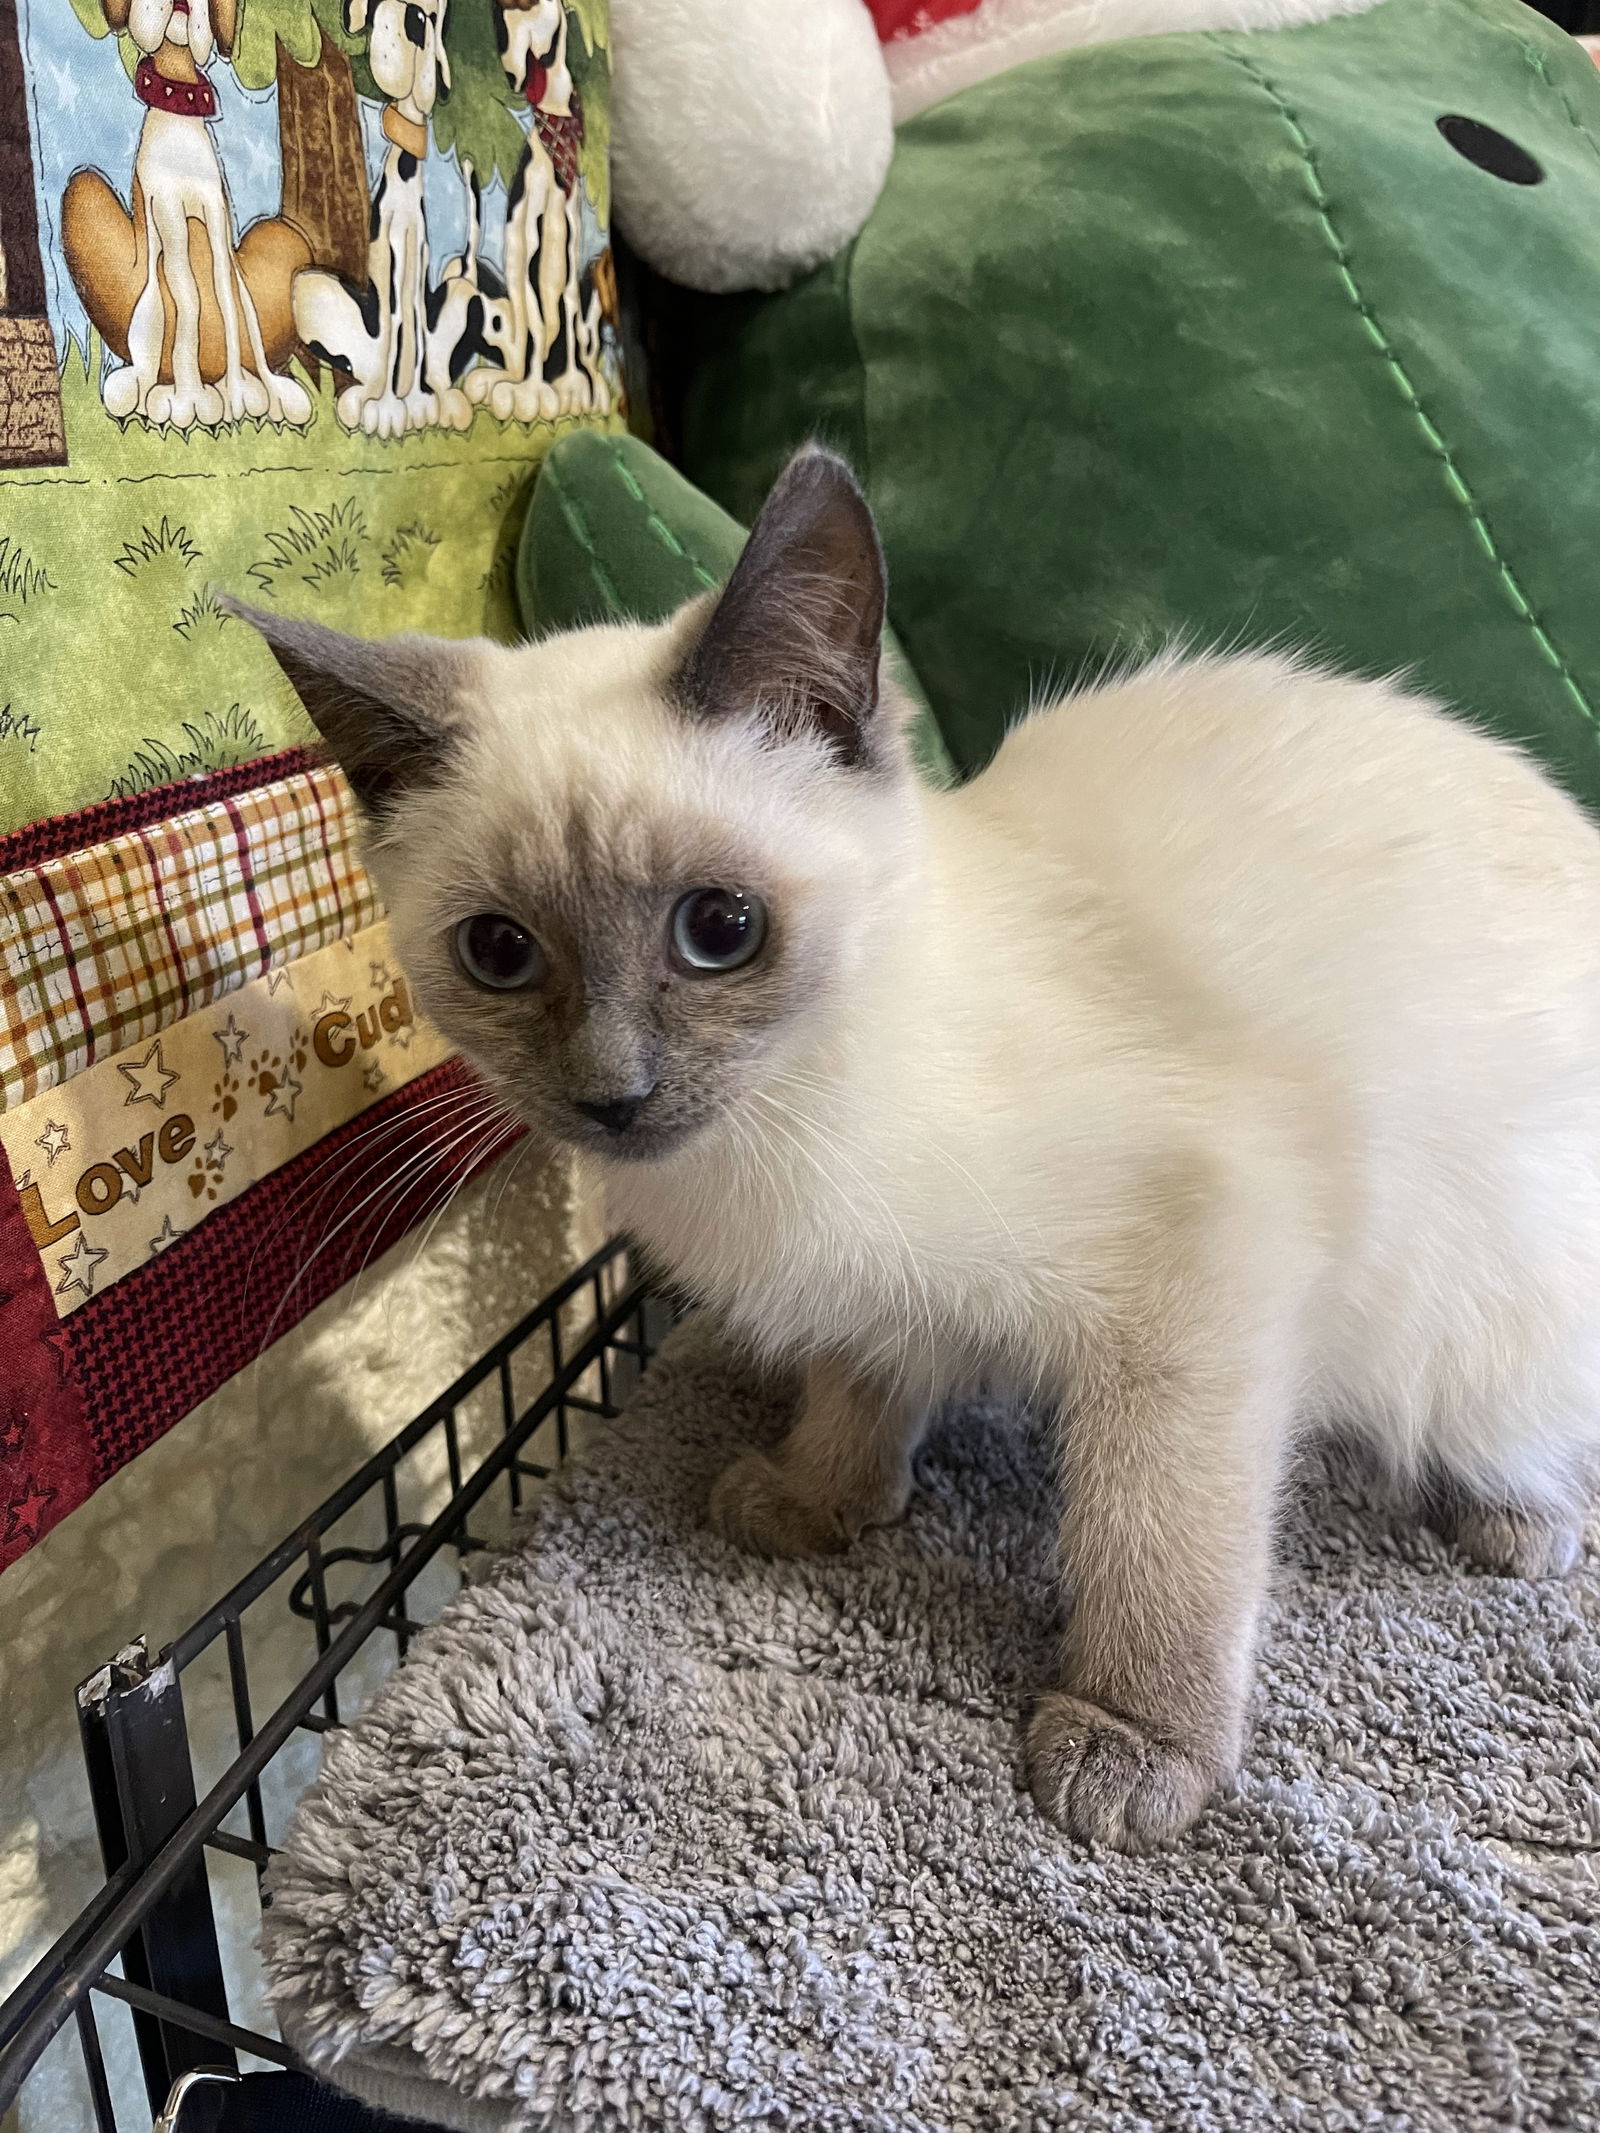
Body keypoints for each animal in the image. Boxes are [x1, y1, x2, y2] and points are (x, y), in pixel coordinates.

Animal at [228, 445, 1600, 1851]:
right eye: (499, 953)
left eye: (719, 930)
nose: (613, 1095)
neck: (783, 1126)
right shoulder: (863, 1292)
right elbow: (860, 1385)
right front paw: (819, 1505)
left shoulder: (1203, 1265)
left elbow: (1164, 1535)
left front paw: (1134, 1747)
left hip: (1483, 1298)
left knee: (1521, 1425)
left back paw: (1512, 1520)